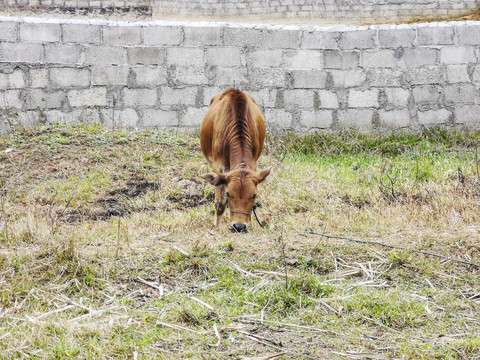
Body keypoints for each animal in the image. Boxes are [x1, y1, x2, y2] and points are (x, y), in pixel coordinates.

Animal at [200, 88, 270, 232]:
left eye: (254, 195)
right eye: (228, 194)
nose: (239, 226)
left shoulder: (253, 163)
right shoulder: (218, 166)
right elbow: (219, 203)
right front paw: (216, 229)